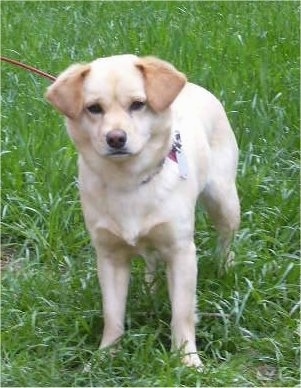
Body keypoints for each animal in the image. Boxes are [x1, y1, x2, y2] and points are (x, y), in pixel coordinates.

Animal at [45, 53, 239, 366]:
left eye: (137, 104)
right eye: (94, 109)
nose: (115, 138)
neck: (128, 182)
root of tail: (192, 86)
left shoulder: (181, 253)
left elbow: (182, 314)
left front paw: (187, 359)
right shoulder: (109, 256)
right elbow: (112, 313)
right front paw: (106, 355)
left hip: (224, 200)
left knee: (226, 238)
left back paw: (225, 268)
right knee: (150, 260)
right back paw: (151, 288)